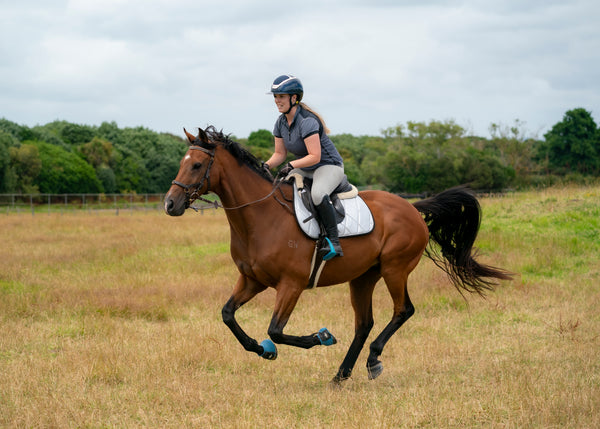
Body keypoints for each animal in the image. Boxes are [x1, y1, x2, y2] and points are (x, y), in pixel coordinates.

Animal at [164, 125, 510, 382]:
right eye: (181, 163)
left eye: (197, 165)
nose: (170, 204)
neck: (260, 217)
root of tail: (412, 208)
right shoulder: (252, 280)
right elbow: (228, 315)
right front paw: (263, 350)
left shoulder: (291, 285)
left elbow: (276, 330)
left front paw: (322, 336)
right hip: (363, 277)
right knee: (364, 323)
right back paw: (341, 374)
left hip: (394, 269)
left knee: (403, 310)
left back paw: (372, 360)